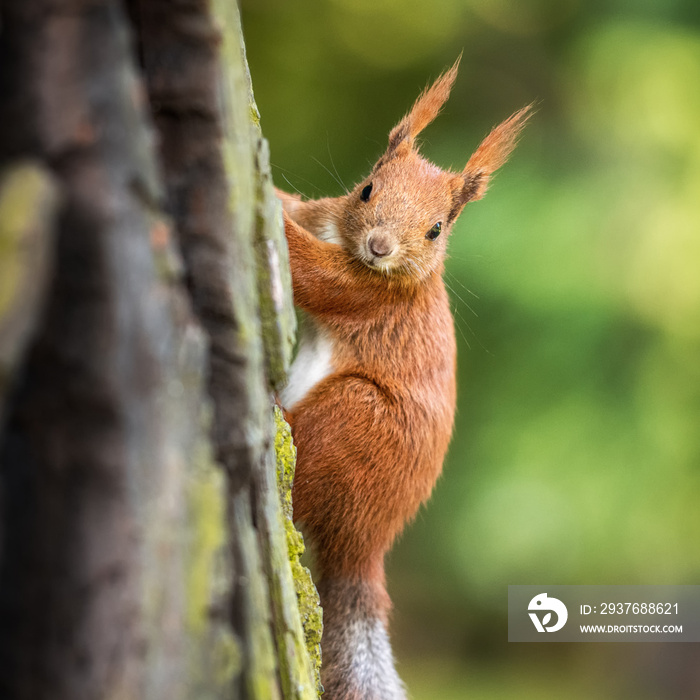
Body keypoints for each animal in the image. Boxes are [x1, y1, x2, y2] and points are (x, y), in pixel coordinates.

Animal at [276, 58, 528, 700]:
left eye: (437, 228)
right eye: (367, 188)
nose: (379, 245)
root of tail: (365, 546)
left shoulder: (360, 292)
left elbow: (309, 273)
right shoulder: (323, 213)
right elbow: (297, 208)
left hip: (352, 420)